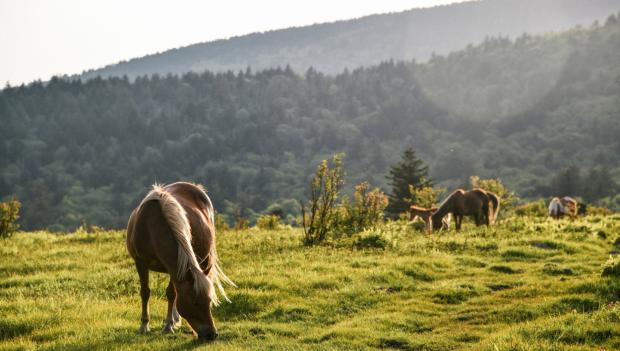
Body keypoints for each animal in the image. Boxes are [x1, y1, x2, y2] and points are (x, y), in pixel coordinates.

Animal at [126, 183, 235, 342]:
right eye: (195, 302)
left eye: (209, 301)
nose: (212, 334)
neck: (151, 227)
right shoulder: (140, 263)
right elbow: (145, 292)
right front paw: (144, 326)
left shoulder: (176, 267)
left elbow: (172, 294)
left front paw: (168, 325)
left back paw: (175, 320)